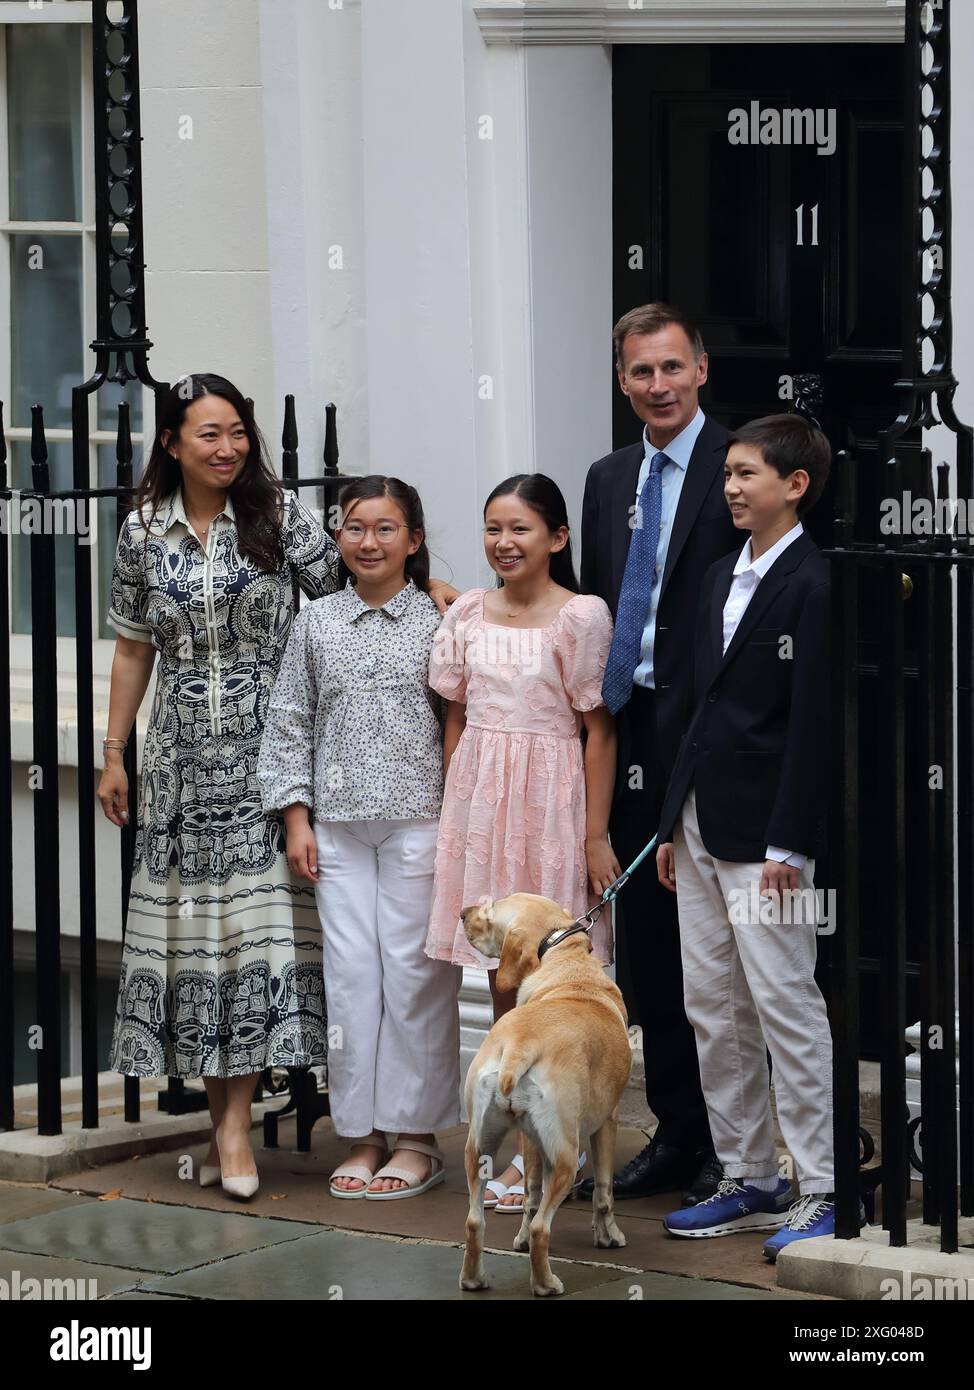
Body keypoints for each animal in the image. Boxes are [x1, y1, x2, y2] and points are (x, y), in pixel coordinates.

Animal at [458, 895, 630, 1295]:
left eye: (490, 913)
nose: (461, 913)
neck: (568, 967)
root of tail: (519, 1046)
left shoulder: (531, 1140)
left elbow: (530, 1193)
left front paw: (518, 1238)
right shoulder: (608, 1121)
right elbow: (604, 1191)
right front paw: (608, 1236)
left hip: (479, 1147)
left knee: (475, 1221)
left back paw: (474, 1279)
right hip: (566, 1155)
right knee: (542, 1228)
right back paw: (546, 1283)